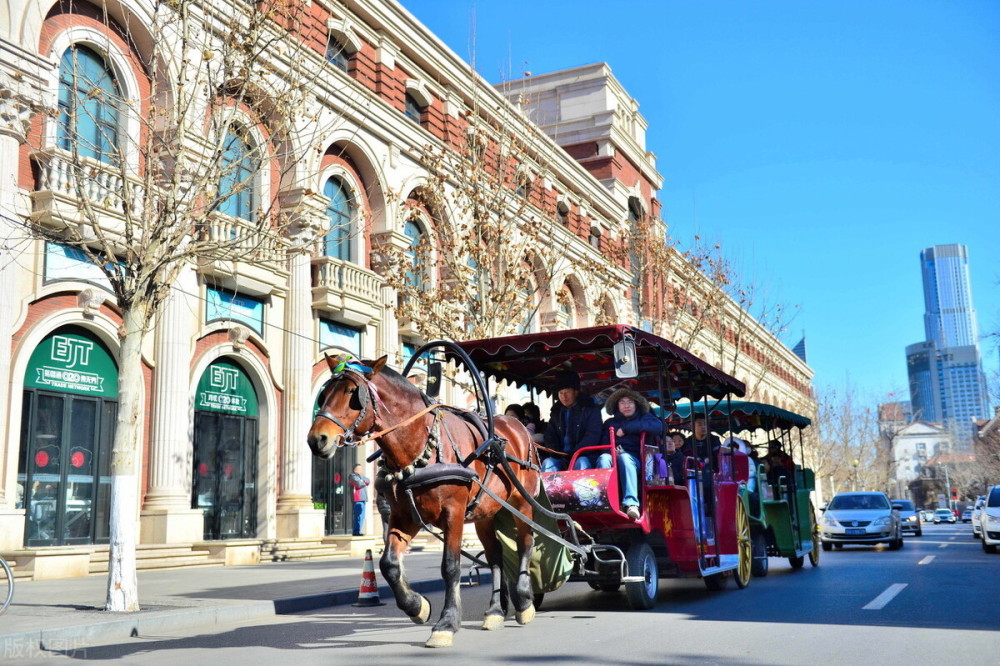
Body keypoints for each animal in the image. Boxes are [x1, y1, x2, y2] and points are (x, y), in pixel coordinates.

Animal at [306, 356, 544, 644]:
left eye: (353, 393)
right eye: (325, 394)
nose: (317, 439)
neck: (418, 444)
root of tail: (517, 427)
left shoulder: (453, 513)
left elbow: (450, 567)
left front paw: (447, 622)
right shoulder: (404, 515)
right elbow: (389, 564)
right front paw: (417, 607)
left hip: (522, 502)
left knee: (525, 544)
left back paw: (524, 601)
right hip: (485, 513)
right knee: (495, 555)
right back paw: (496, 611)